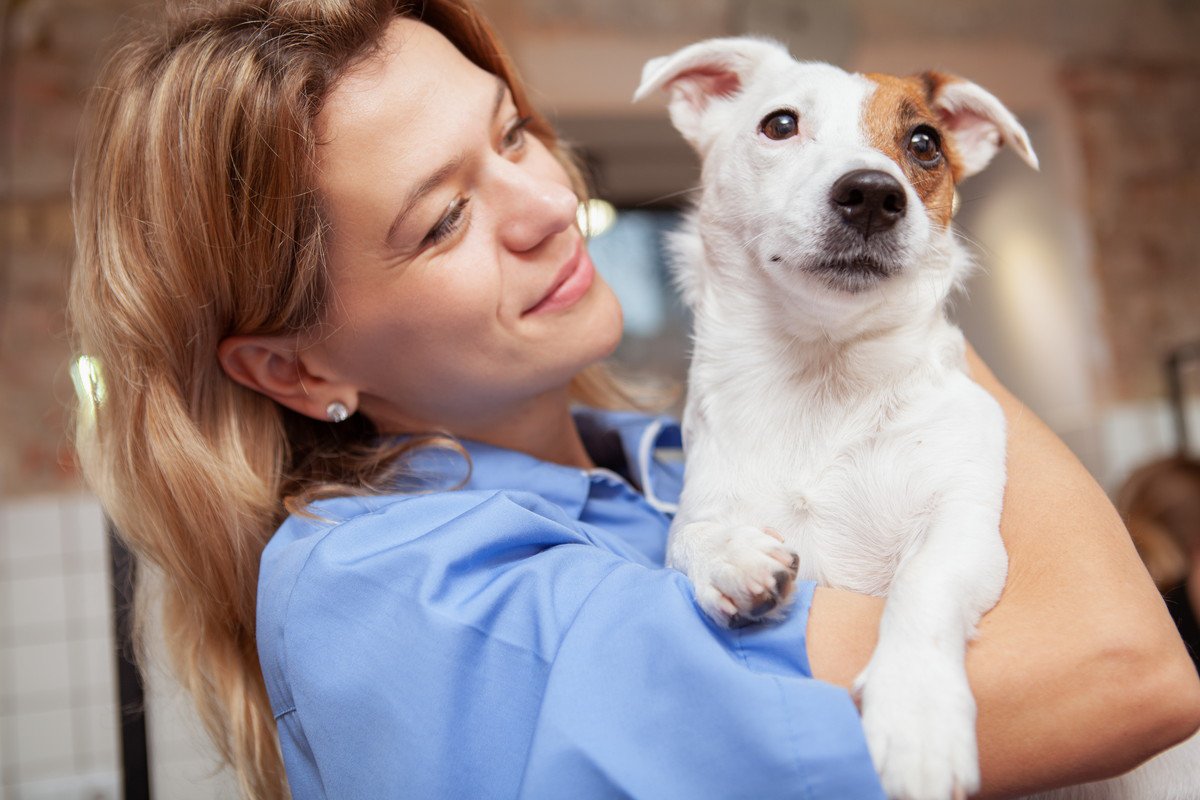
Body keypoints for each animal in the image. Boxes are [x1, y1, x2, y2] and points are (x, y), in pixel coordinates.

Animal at [633, 35, 1195, 800]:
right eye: (780, 124)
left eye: (924, 143)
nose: (873, 193)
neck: (823, 377)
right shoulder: (703, 500)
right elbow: (685, 535)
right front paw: (730, 557)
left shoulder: (962, 528)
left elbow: (920, 587)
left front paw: (916, 714)